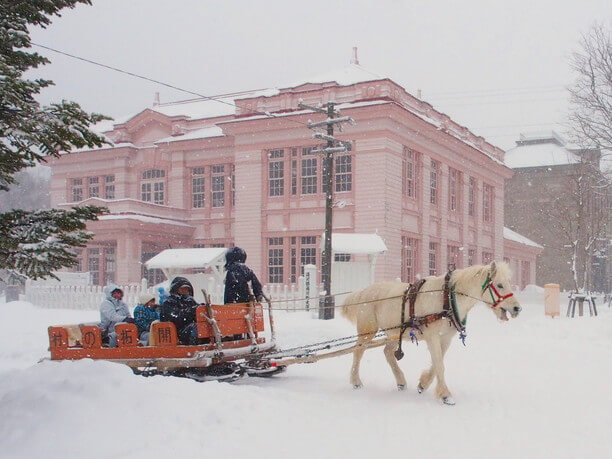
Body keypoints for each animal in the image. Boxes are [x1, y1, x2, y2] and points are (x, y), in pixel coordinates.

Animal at [340, 262, 520, 406]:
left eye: (508, 283)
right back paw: (356, 381)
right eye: (500, 285)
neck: (447, 297)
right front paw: (446, 395)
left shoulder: (445, 337)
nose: (517, 308)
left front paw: (423, 384)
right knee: (358, 351)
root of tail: (364, 290)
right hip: (367, 330)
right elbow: (439, 365)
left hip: (394, 332)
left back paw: (401, 381)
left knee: (387, 352)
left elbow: (437, 364)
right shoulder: (432, 336)